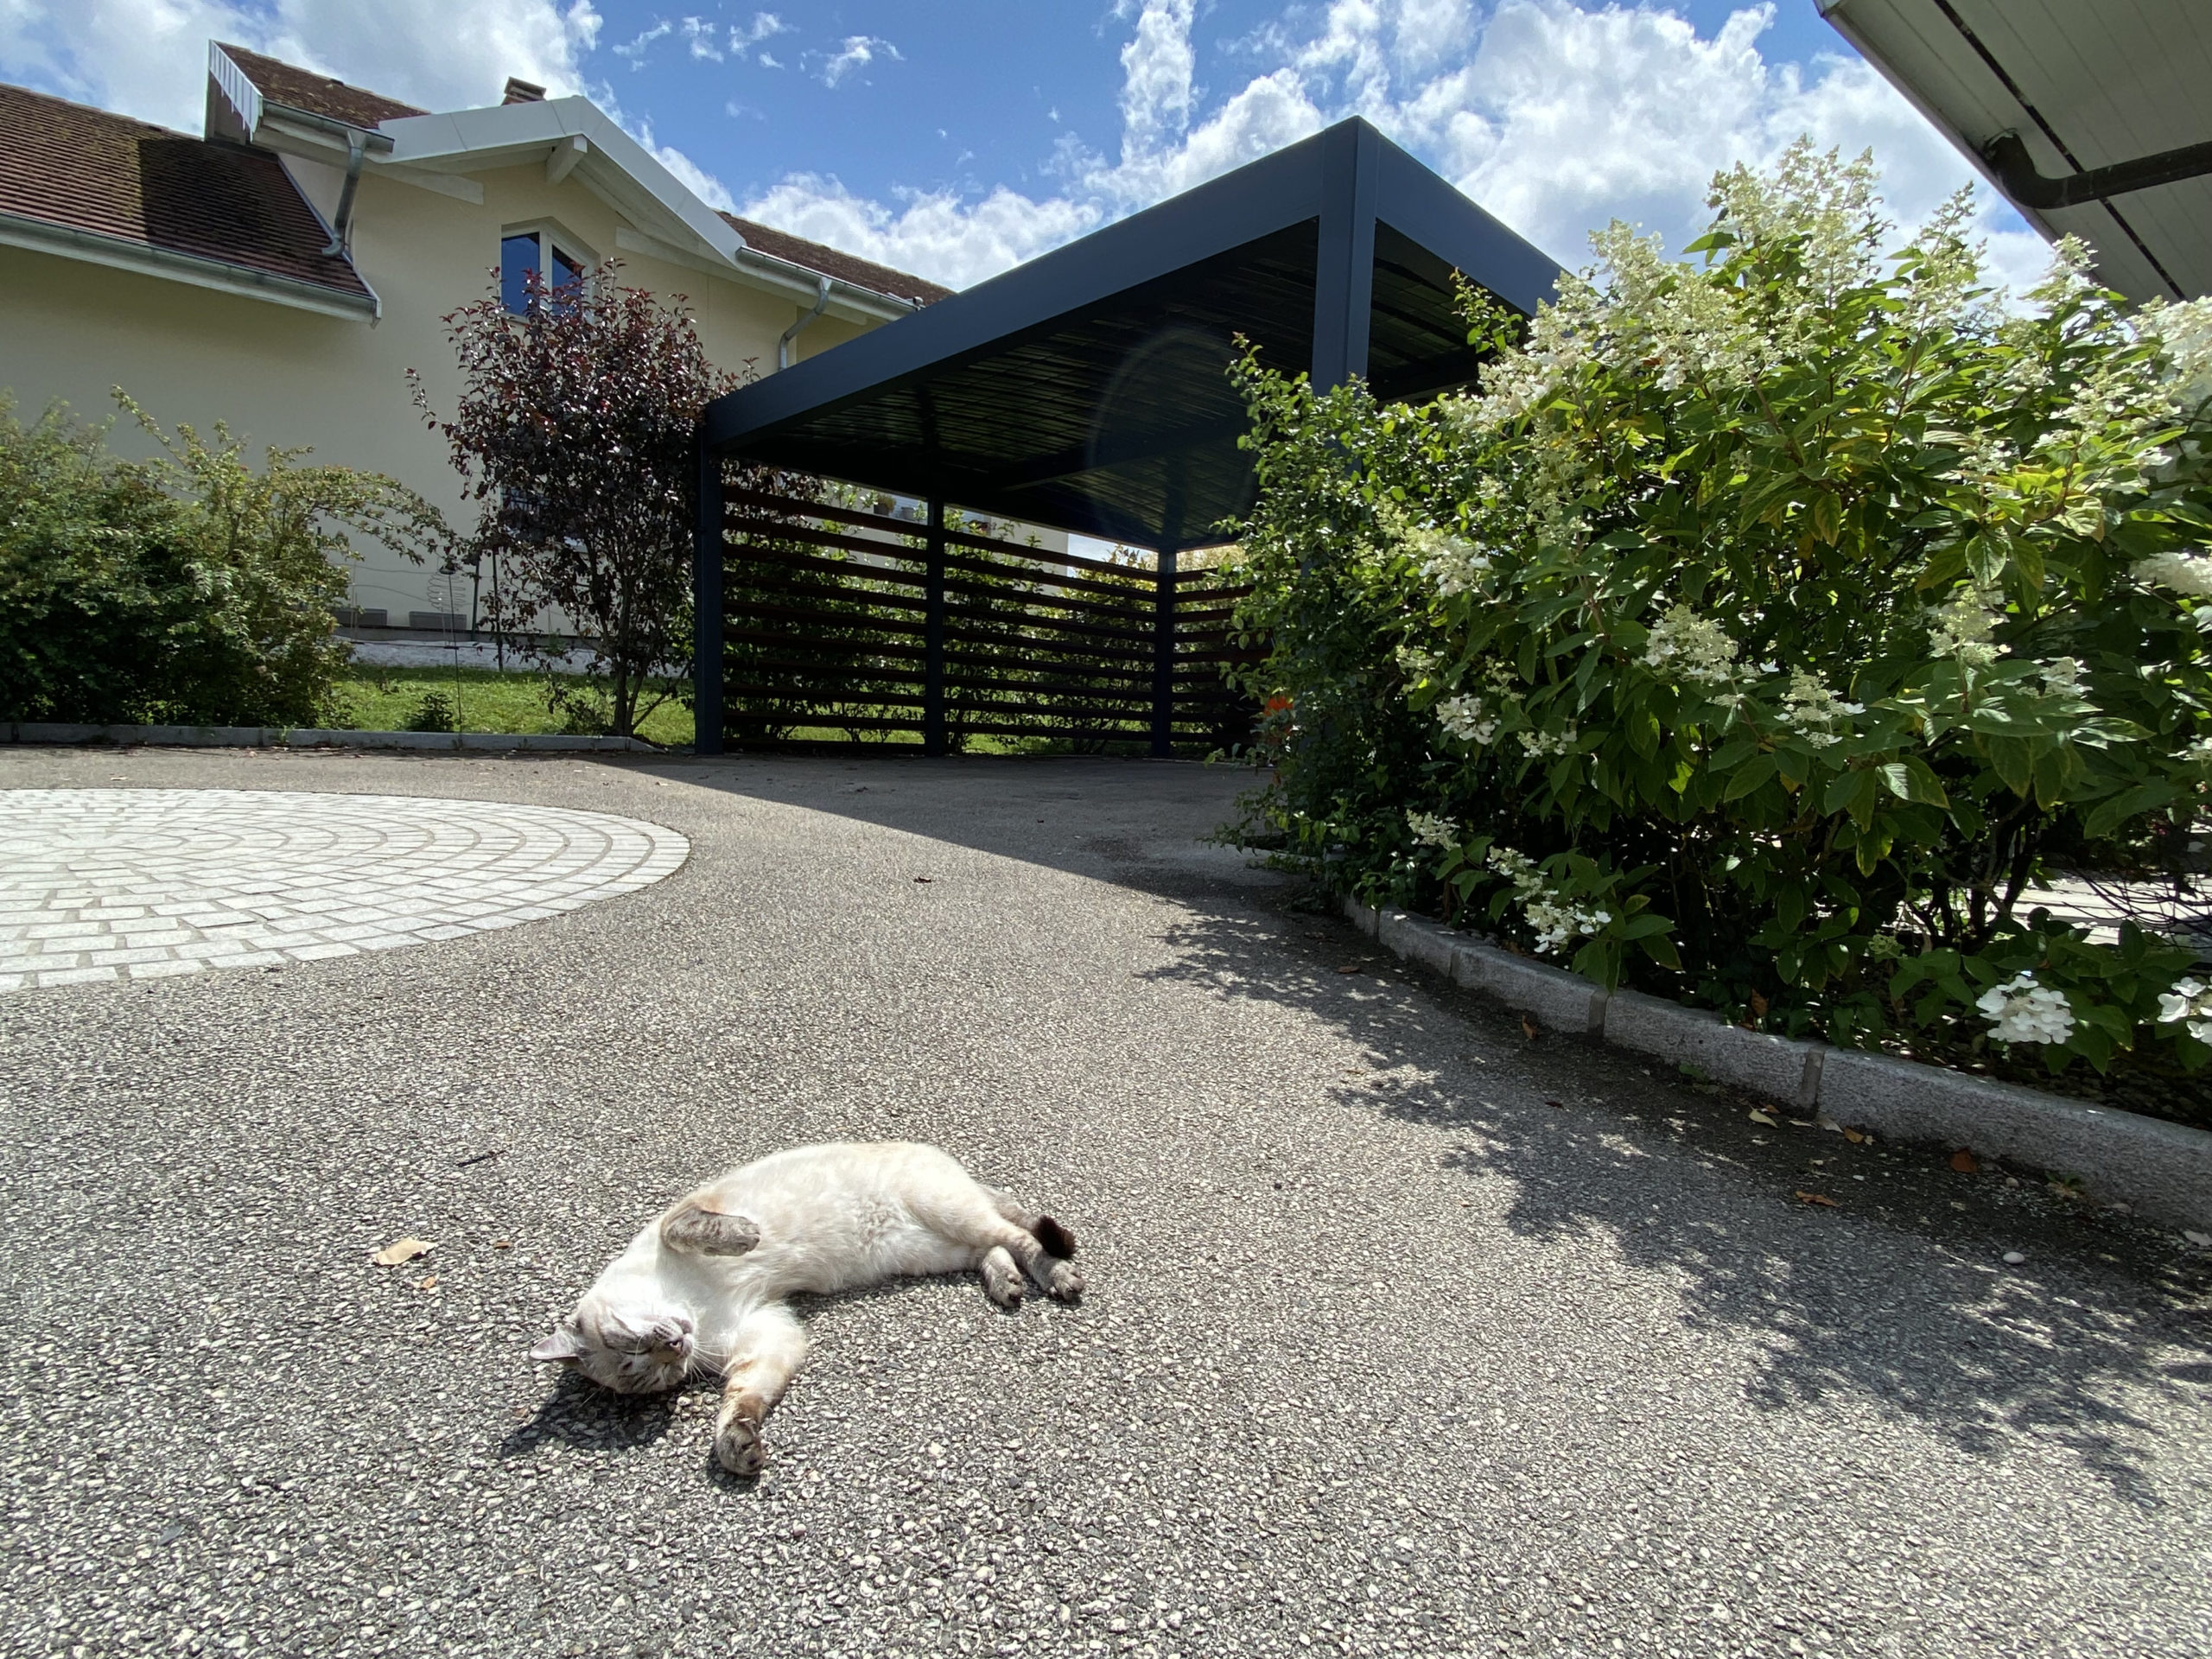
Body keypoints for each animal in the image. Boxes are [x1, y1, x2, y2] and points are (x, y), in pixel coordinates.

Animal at [526, 1141, 1079, 1478]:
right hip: (933, 1250)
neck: (697, 1312)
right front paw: (738, 1447)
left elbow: (695, 1228)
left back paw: (1058, 1274)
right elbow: (742, 1402)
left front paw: (745, 1236)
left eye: (630, 1345)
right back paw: (1007, 1284)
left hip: (947, 1211)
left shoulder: (678, 1224)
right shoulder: (767, 1336)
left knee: (1023, 1236)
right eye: (648, 1375)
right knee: (995, 1246)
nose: (674, 1346)